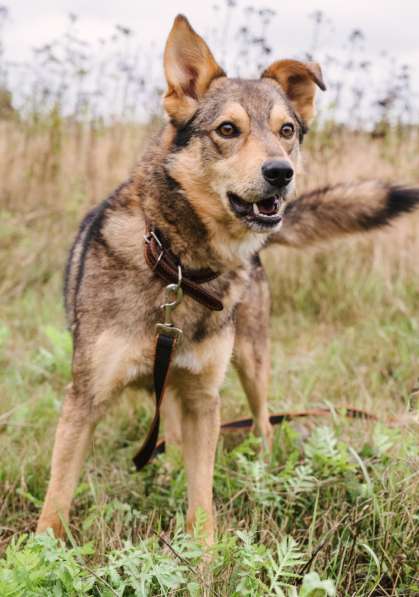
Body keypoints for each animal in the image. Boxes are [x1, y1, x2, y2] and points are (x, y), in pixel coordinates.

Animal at [37, 15, 419, 544]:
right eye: (227, 129)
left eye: (286, 130)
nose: (281, 172)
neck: (177, 266)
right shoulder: (85, 398)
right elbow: (57, 498)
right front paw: (39, 551)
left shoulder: (204, 401)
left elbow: (202, 502)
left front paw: (204, 556)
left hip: (252, 361)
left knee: (263, 423)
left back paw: (263, 465)